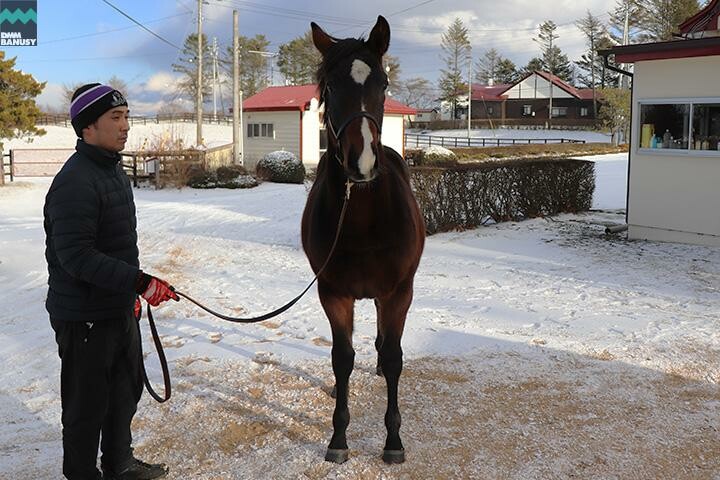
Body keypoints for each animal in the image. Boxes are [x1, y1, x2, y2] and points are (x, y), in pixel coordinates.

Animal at [301, 15, 425, 464]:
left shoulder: (399, 292)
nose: (363, 161)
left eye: (383, 83)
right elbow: (342, 358)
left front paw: (393, 441)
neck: (362, 218)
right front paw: (338, 437)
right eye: (329, 86)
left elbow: (393, 357)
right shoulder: (333, 293)